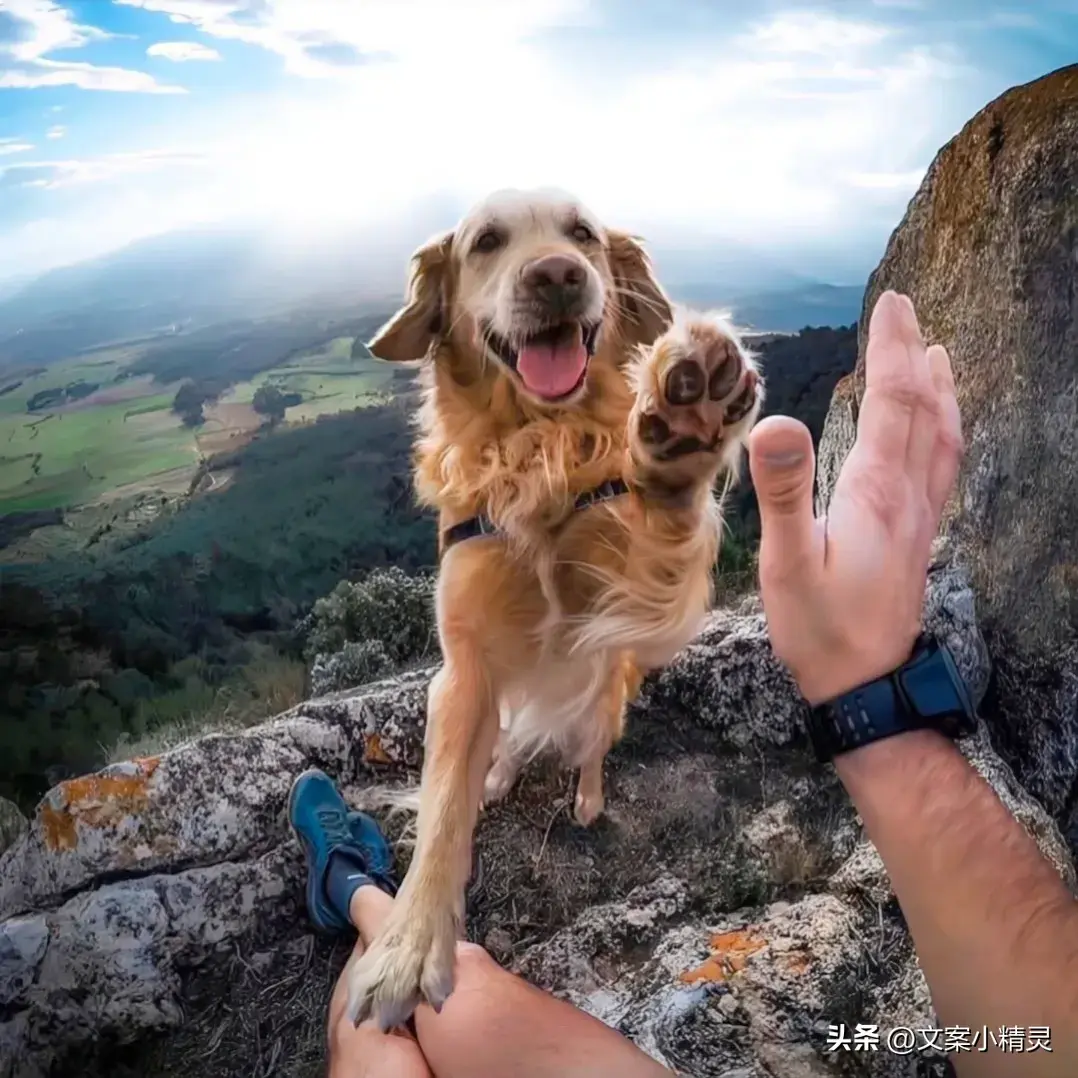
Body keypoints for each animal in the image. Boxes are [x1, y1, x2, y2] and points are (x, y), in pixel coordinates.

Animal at [349, 189, 763, 1030]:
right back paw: (503, 773)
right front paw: (408, 945)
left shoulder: (631, 599)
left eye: (582, 235)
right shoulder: (465, 667)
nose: (557, 276)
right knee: (509, 742)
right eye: (486, 242)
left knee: (591, 746)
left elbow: (666, 530)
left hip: (604, 698)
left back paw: (588, 797)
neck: (538, 447)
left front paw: (681, 442)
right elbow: (444, 804)